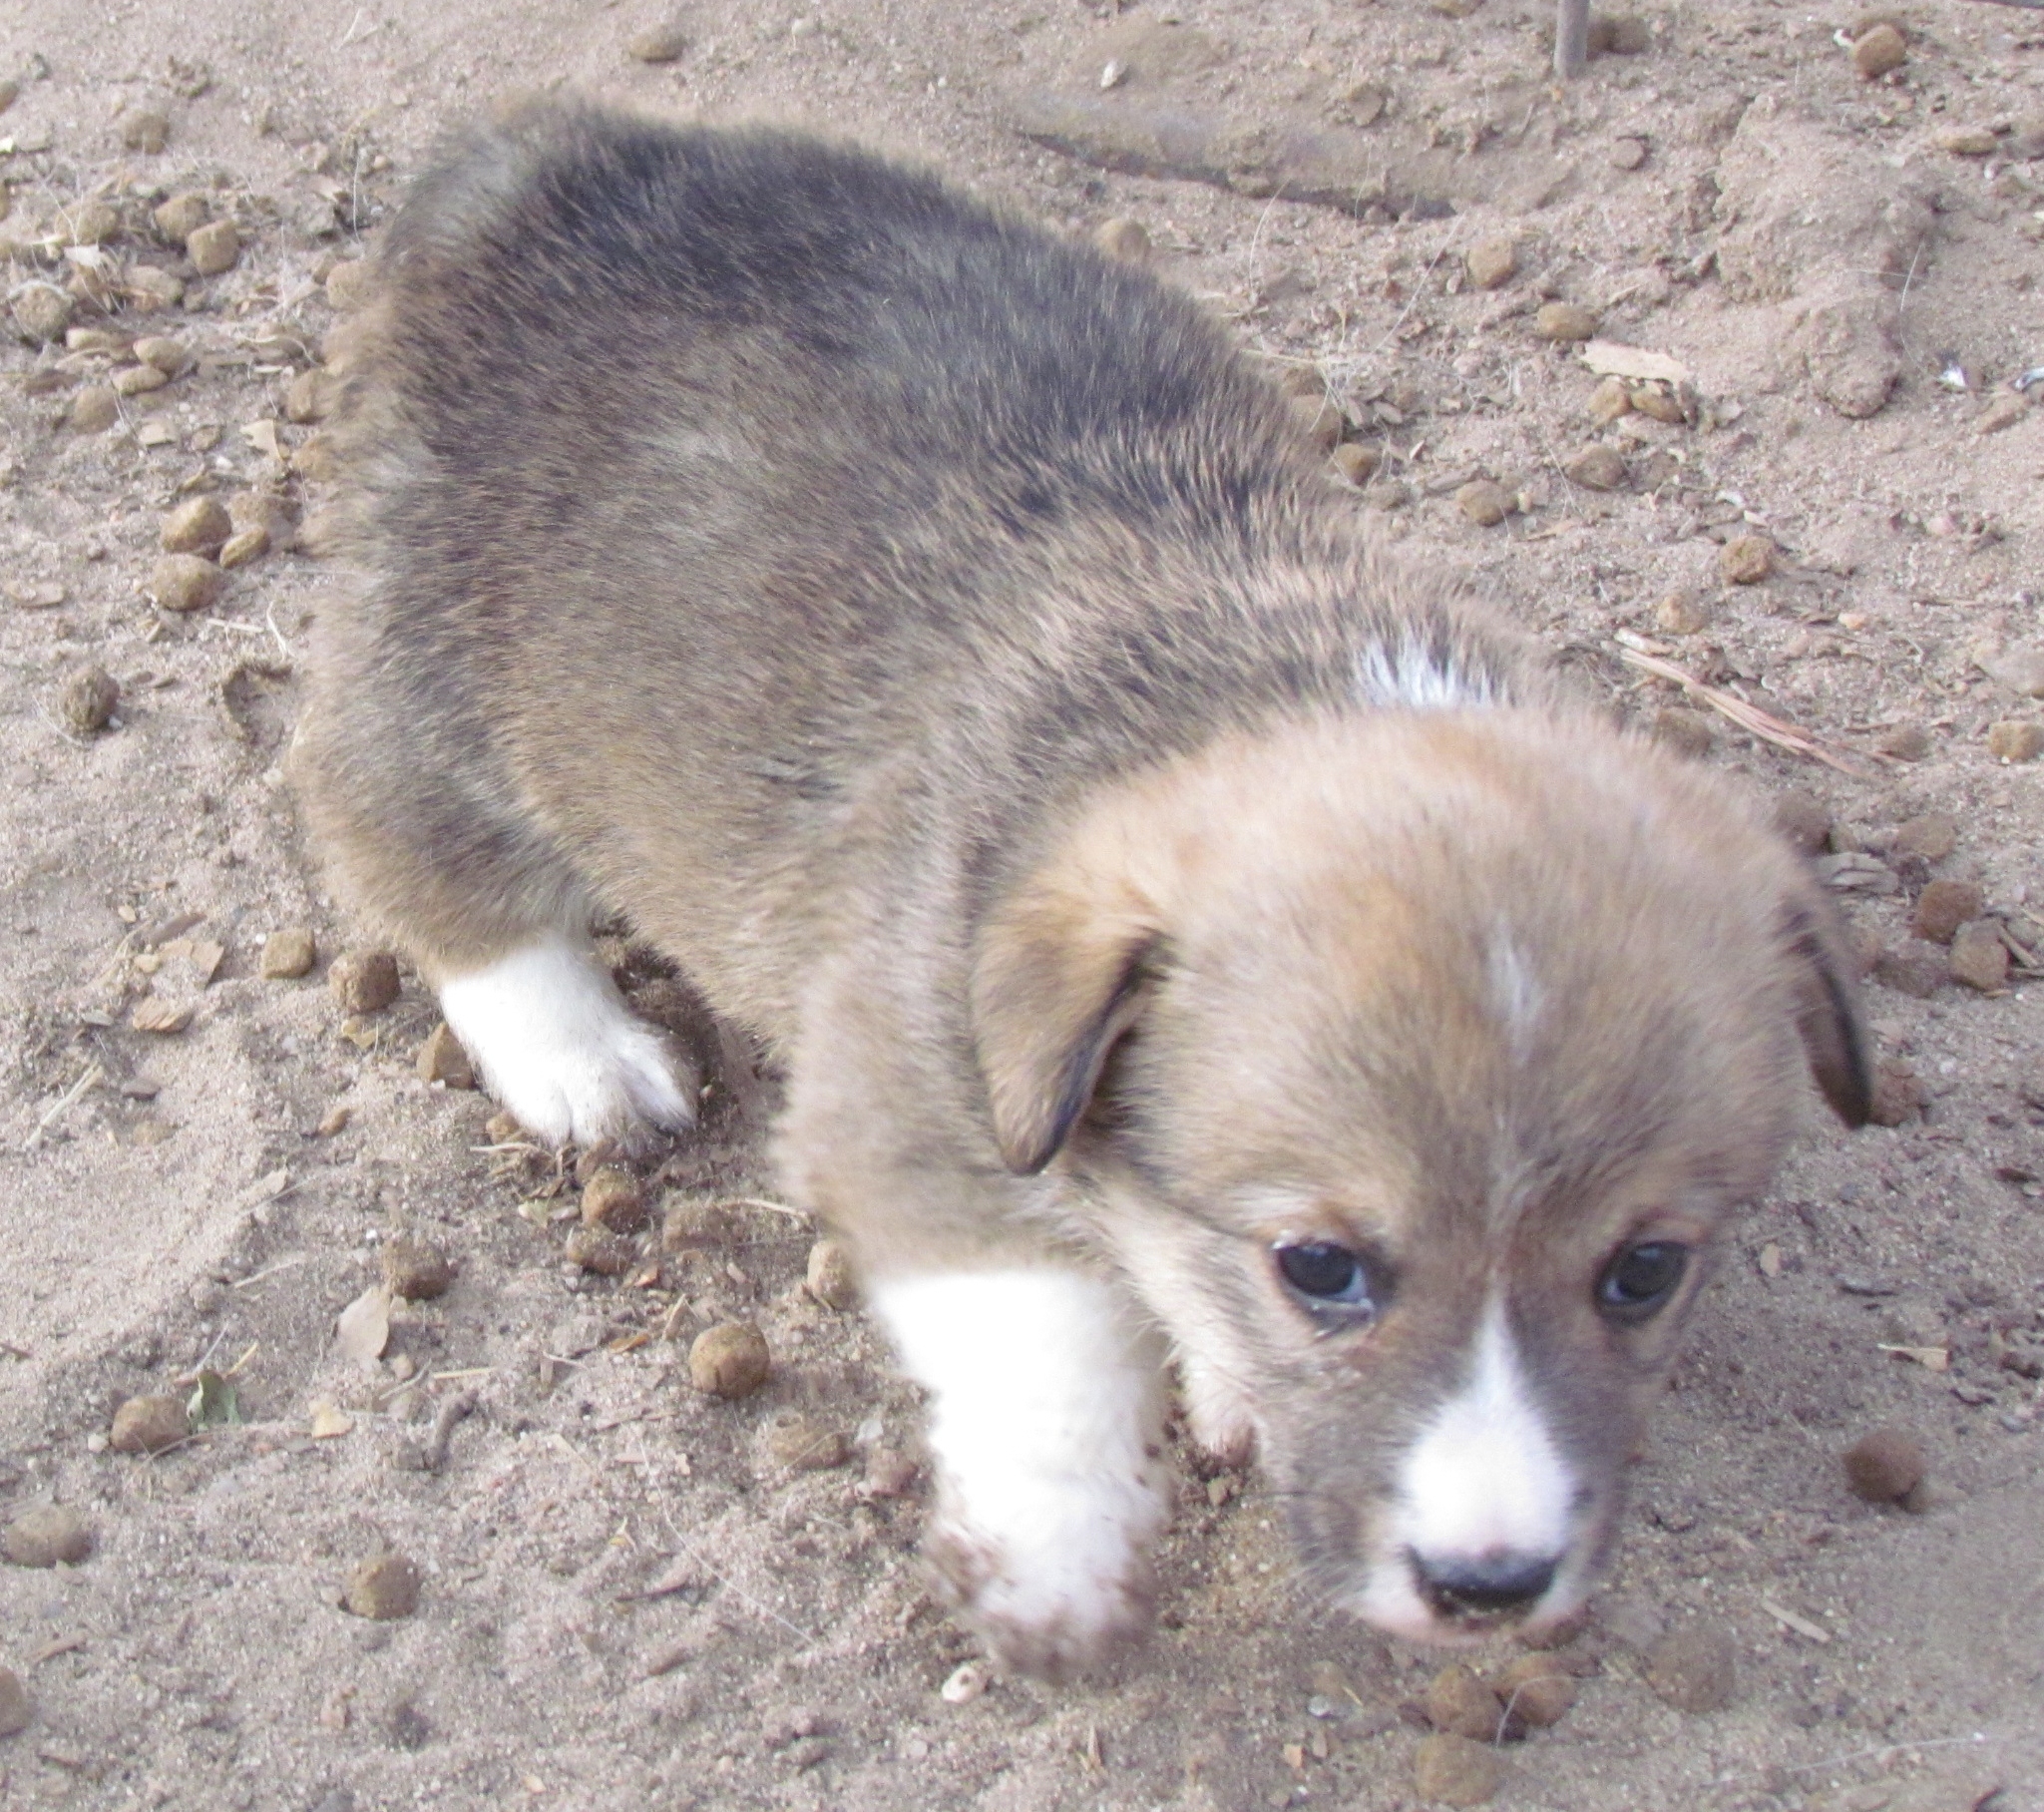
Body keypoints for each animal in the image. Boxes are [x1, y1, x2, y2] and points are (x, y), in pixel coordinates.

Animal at [293, 101, 1870, 1682]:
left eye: (1644, 1271)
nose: (1489, 1584)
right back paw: (582, 1060)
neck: (1283, 687)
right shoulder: (915, 1123)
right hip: (436, 672)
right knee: (397, 833)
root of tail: (531, 161)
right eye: (1321, 1266)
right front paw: (1055, 1568)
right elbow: (1047, 1352)